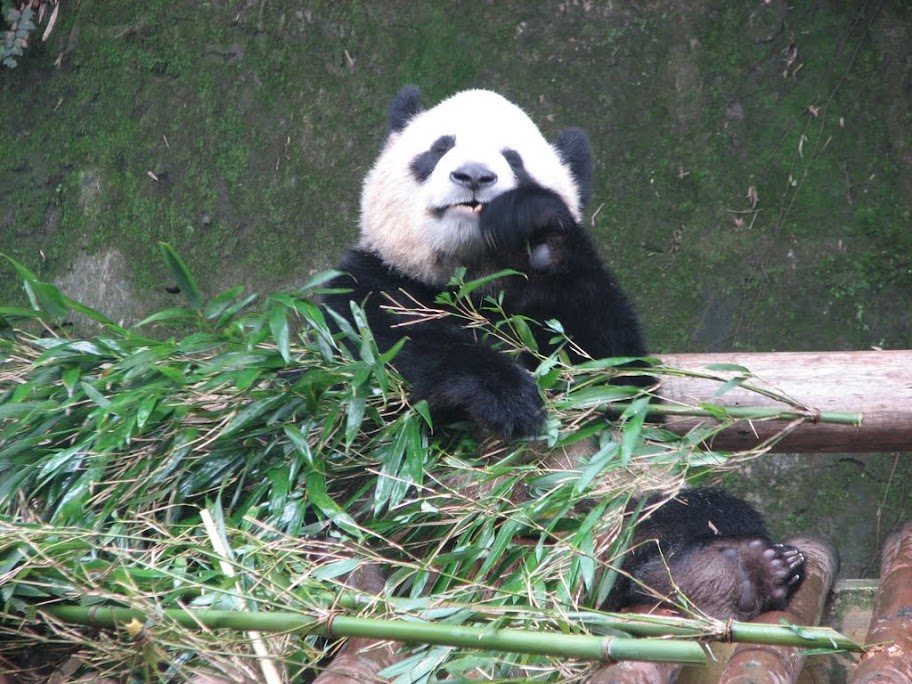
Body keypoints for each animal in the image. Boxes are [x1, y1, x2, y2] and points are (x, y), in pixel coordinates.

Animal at [322, 86, 806, 621]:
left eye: (514, 159)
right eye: (438, 148)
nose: (474, 176)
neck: (470, 280)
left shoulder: (571, 317)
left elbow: (617, 379)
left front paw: (532, 223)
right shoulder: (367, 285)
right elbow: (388, 357)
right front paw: (508, 398)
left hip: (603, 497)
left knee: (680, 514)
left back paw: (730, 574)